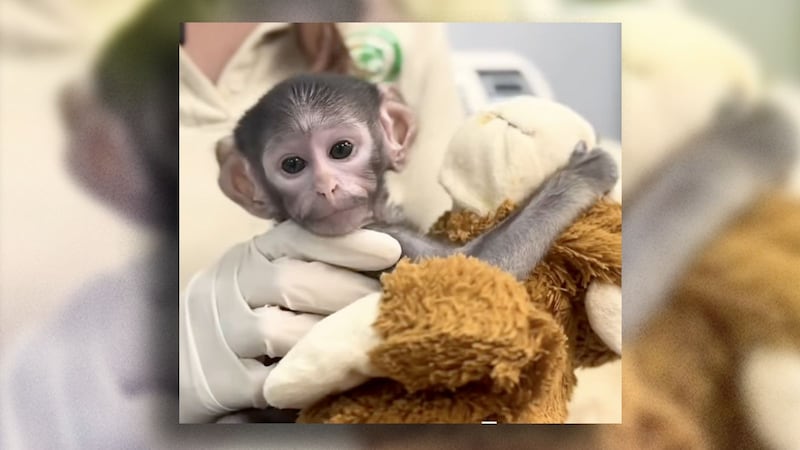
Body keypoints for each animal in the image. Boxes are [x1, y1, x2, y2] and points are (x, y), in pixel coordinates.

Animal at [218, 73, 618, 281]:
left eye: (341, 150)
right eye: (293, 165)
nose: (326, 187)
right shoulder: (381, 243)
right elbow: (477, 273)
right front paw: (583, 174)